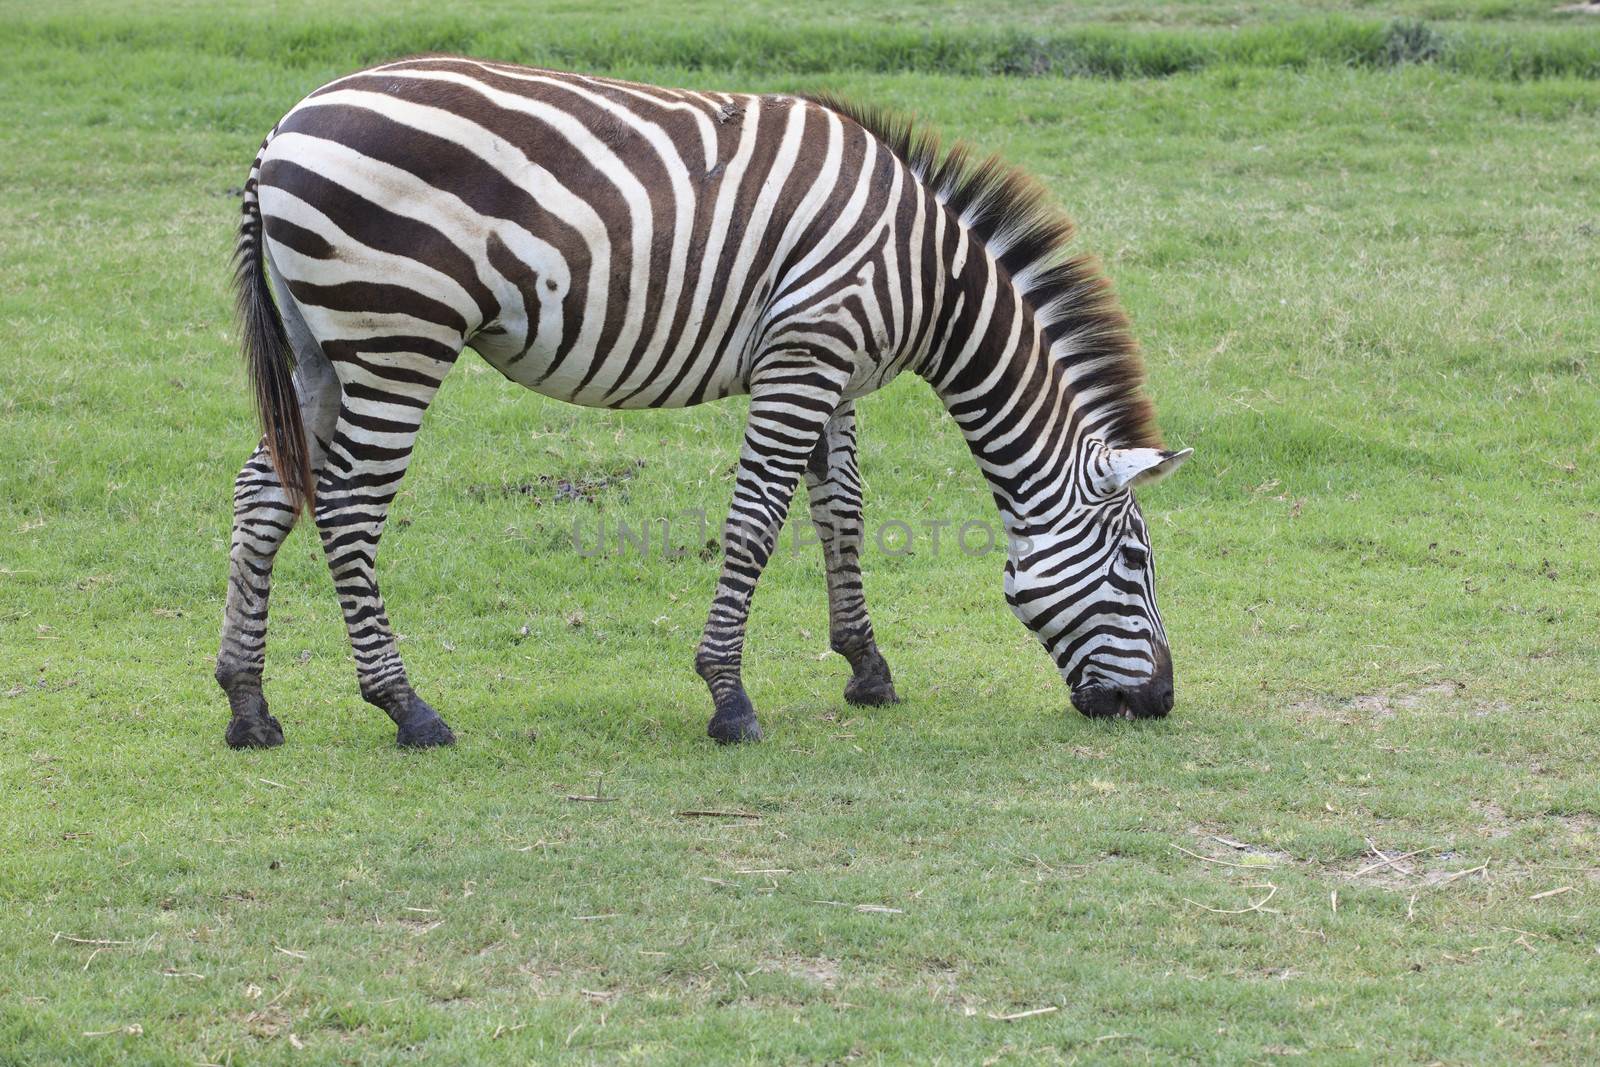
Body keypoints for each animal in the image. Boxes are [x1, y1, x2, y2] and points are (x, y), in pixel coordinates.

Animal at [216, 54, 1190, 748]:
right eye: (1136, 562)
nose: (1162, 699)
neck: (931, 277)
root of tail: (282, 130)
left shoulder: (832, 366)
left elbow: (841, 512)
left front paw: (866, 667)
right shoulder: (805, 353)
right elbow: (758, 520)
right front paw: (728, 696)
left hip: (322, 347)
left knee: (266, 490)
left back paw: (248, 706)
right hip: (395, 335)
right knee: (347, 506)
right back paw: (406, 708)